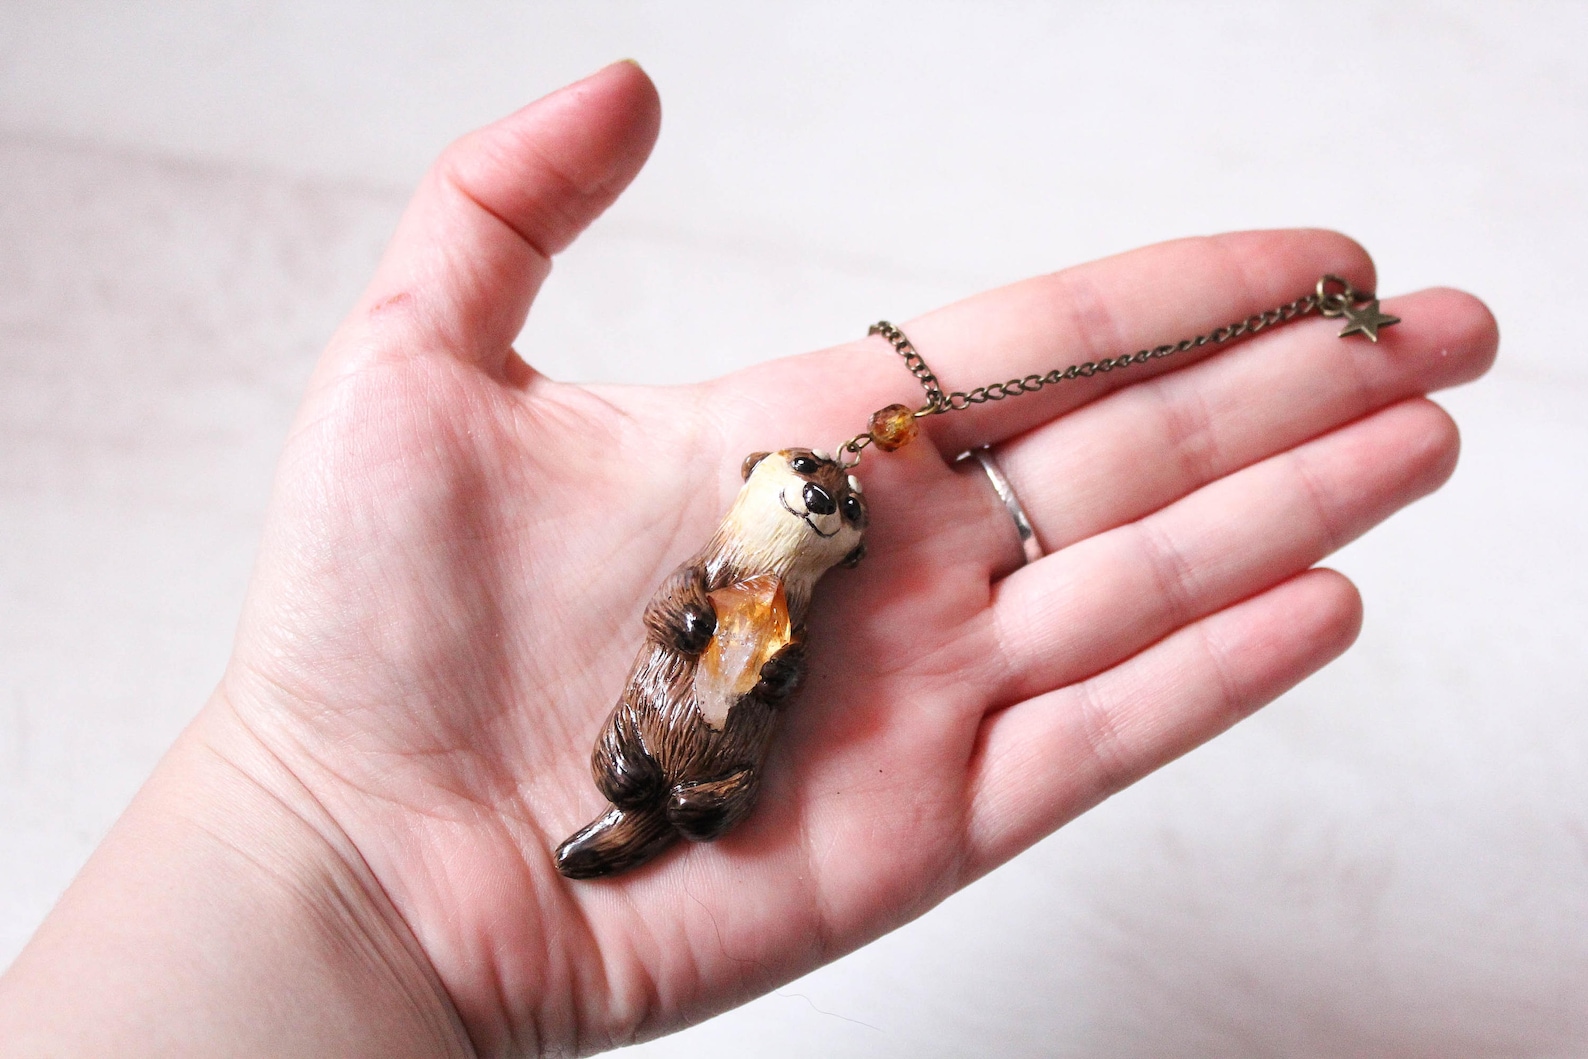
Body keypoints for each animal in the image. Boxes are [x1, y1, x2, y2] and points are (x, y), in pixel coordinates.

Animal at [555, 448, 868, 879]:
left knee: (714, 810)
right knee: (611, 763)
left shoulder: (804, 628)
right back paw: (631, 776)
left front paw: (775, 672)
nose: (819, 498)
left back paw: (689, 806)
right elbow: (661, 603)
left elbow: (799, 673)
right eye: (804, 463)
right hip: (619, 722)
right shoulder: (690, 567)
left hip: (744, 778)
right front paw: (696, 624)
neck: (763, 569)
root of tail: (669, 782)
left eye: (852, 506)